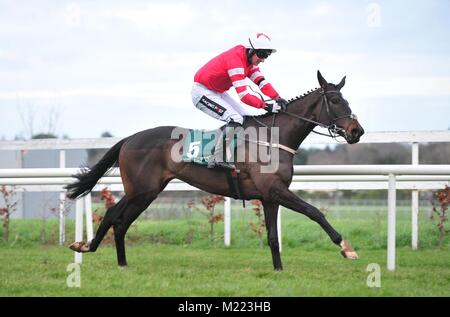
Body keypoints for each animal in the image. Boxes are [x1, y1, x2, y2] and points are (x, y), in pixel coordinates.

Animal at [67, 71, 366, 270]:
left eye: (346, 99)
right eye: (336, 101)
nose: (357, 131)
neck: (273, 138)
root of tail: (129, 139)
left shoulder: (270, 196)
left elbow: (273, 237)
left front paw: (279, 270)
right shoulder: (276, 190)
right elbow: (314, 212)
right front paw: (346, 248)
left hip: (148, 192)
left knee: (121, 222)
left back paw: (120, 263)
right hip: (141, 189)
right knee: (113, 215)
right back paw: (87, 246)